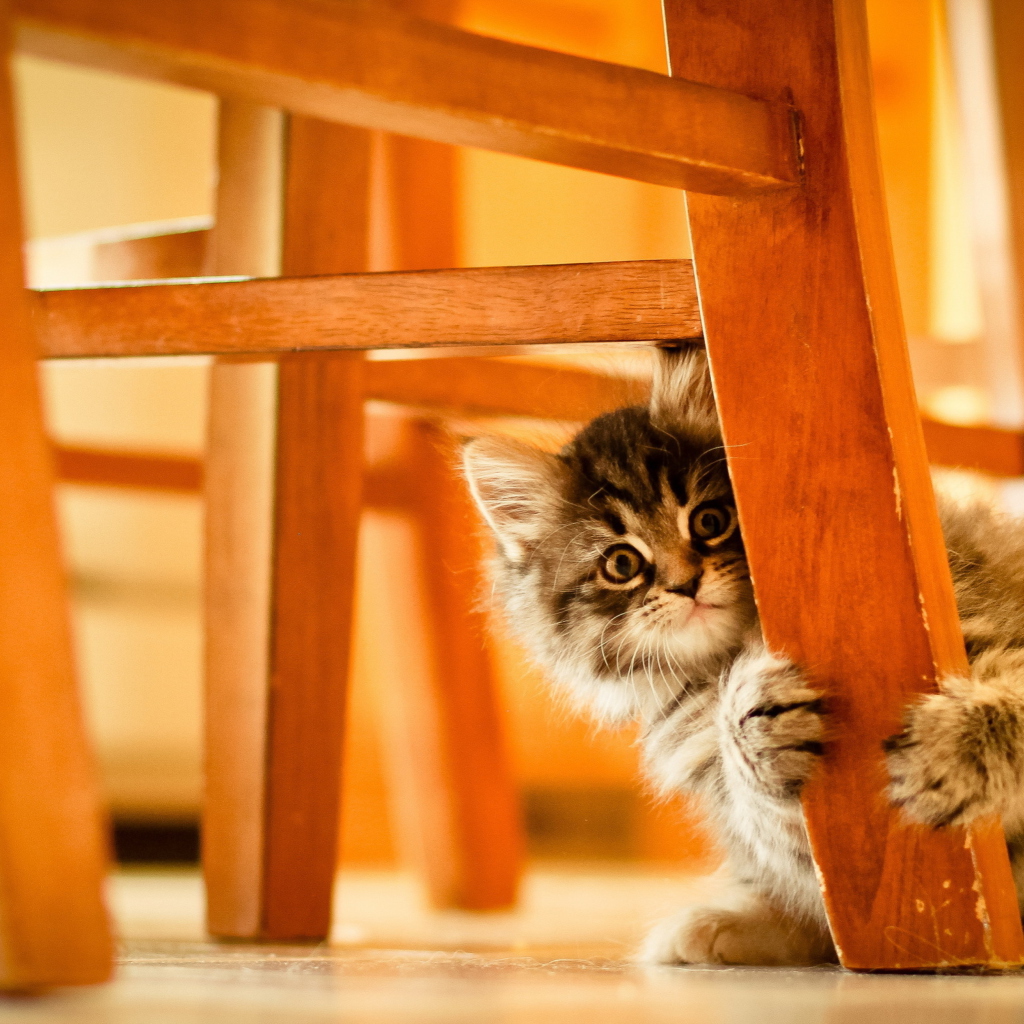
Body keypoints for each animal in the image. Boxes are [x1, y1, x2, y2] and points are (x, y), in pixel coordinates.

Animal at [464, 346, 1024, 966]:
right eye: (621, 564)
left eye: (709, 521)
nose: (685, 585)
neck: (726, 658)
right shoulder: (754, 808)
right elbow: (770, 821)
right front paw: (756, 725)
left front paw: (957, 751)